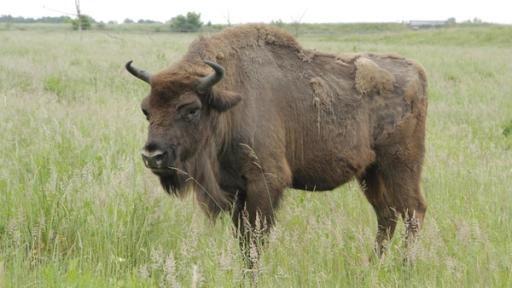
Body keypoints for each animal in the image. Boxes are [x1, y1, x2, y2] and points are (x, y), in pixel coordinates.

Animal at [125, 24, 428, 258]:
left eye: (191, 109)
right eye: (146, 110)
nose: (152, 156)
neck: (229, 101)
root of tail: (417, 71)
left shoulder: (265, 182)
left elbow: (255, 242)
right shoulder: (236, 190)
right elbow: (243, 240)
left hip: (400, 166)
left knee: (413, 212)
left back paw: (405, 266)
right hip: (370, 173)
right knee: (387, 215)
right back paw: (374, 264)